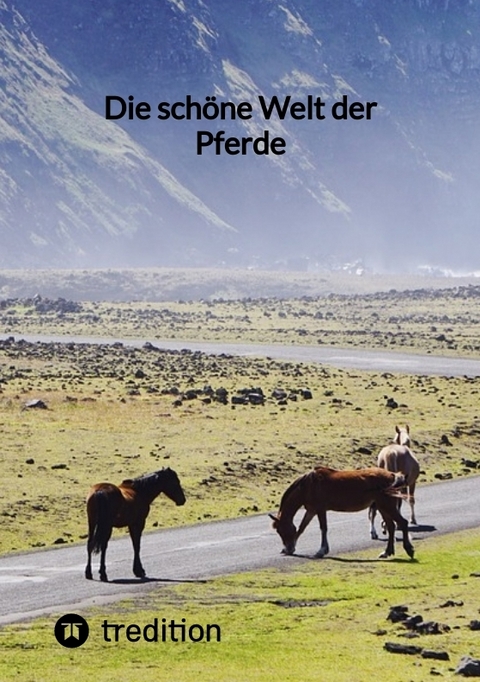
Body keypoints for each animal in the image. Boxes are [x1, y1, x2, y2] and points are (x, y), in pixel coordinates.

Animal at [269, 466, 414, 560]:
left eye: (280, 531)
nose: (287, 547)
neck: (308, 485)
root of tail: (392, 475)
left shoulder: (320, 509)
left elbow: (323, 528)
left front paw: (321, 551)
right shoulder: (311, 510)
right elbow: (301, 528)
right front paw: (291, 548)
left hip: (386, 506)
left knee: (402, 523)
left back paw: (409, 550)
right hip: (382, 507)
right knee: (391, 527)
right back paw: (386, 552)